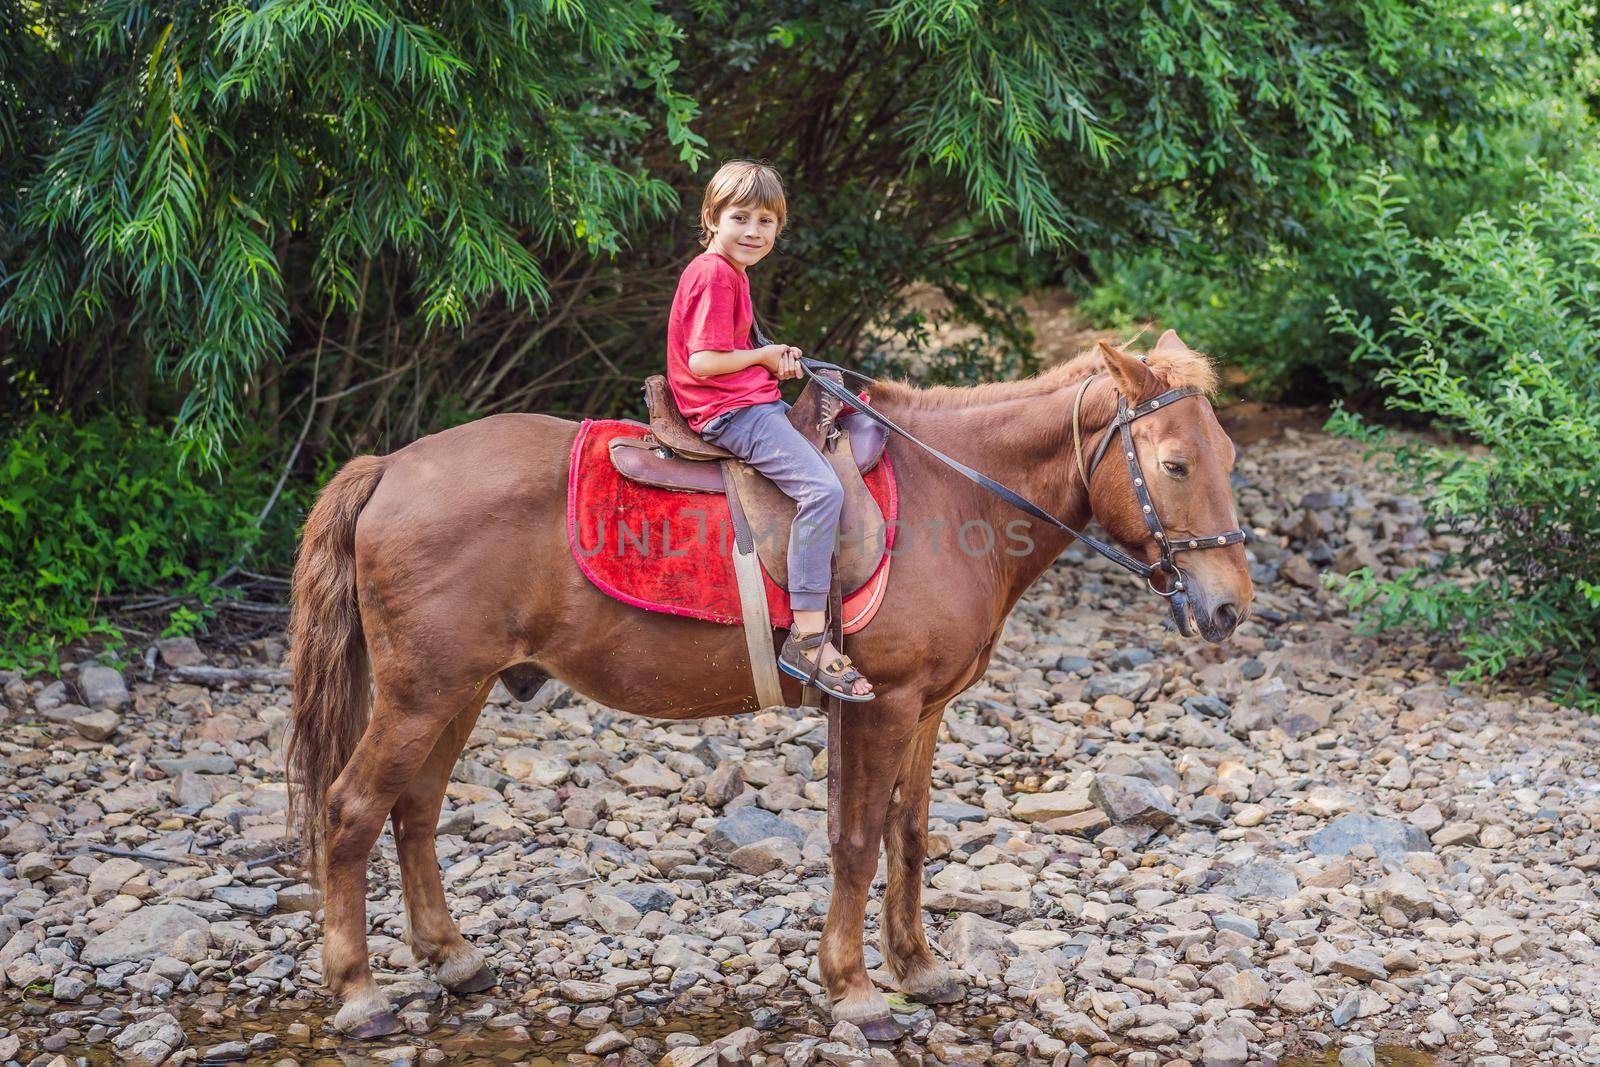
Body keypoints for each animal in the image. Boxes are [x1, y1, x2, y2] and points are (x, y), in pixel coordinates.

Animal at [294, 331, 1254, 1036]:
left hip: (461, 690)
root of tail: (391, 466)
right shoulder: (883, 705)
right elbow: (858, 842)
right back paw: (360, 992)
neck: (953, 495)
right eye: (1174, 464)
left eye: (1229, 453)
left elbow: (907, 835)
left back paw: (452, 957)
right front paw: (858, 990)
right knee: (350, 811)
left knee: (414, 812)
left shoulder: (926, 709)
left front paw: (919, 968)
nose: (1228, 606)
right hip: (422, 694)